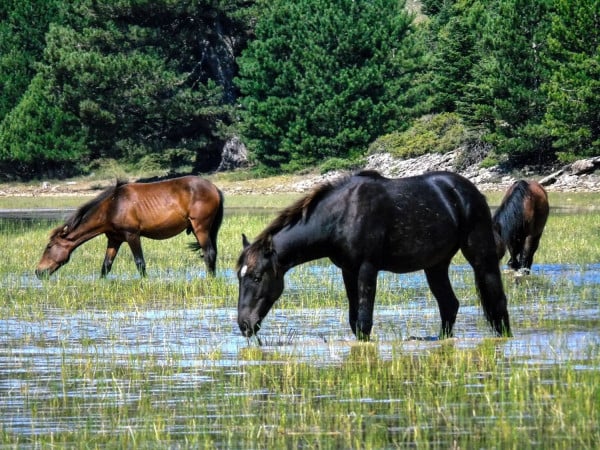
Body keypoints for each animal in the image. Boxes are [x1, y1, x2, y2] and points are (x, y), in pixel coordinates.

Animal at [35, 176, 224, 278]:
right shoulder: (114, 239)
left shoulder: (132, 235)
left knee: (209, 253)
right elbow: (106, 265)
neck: (113, 206)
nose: (38, 272)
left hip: (201, 228)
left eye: (49, 246)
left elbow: (140, 262)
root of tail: (215, 188)